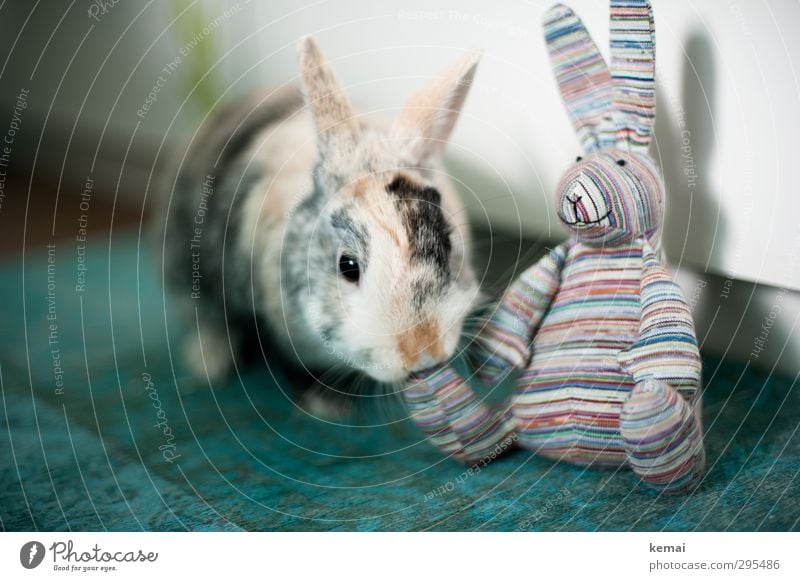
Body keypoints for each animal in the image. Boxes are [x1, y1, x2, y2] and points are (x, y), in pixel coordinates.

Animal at [404, 0, 704, 494]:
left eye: (621, 163)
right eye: (579, 158)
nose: (576, 192)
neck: (603, 249)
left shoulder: (649, 265)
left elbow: (668, 323)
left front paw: (658, 376)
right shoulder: (558, 258)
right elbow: (519, 305)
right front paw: (486, 362)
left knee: (663, 434)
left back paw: (653, 416)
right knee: (485, 435)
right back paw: (433, 398)